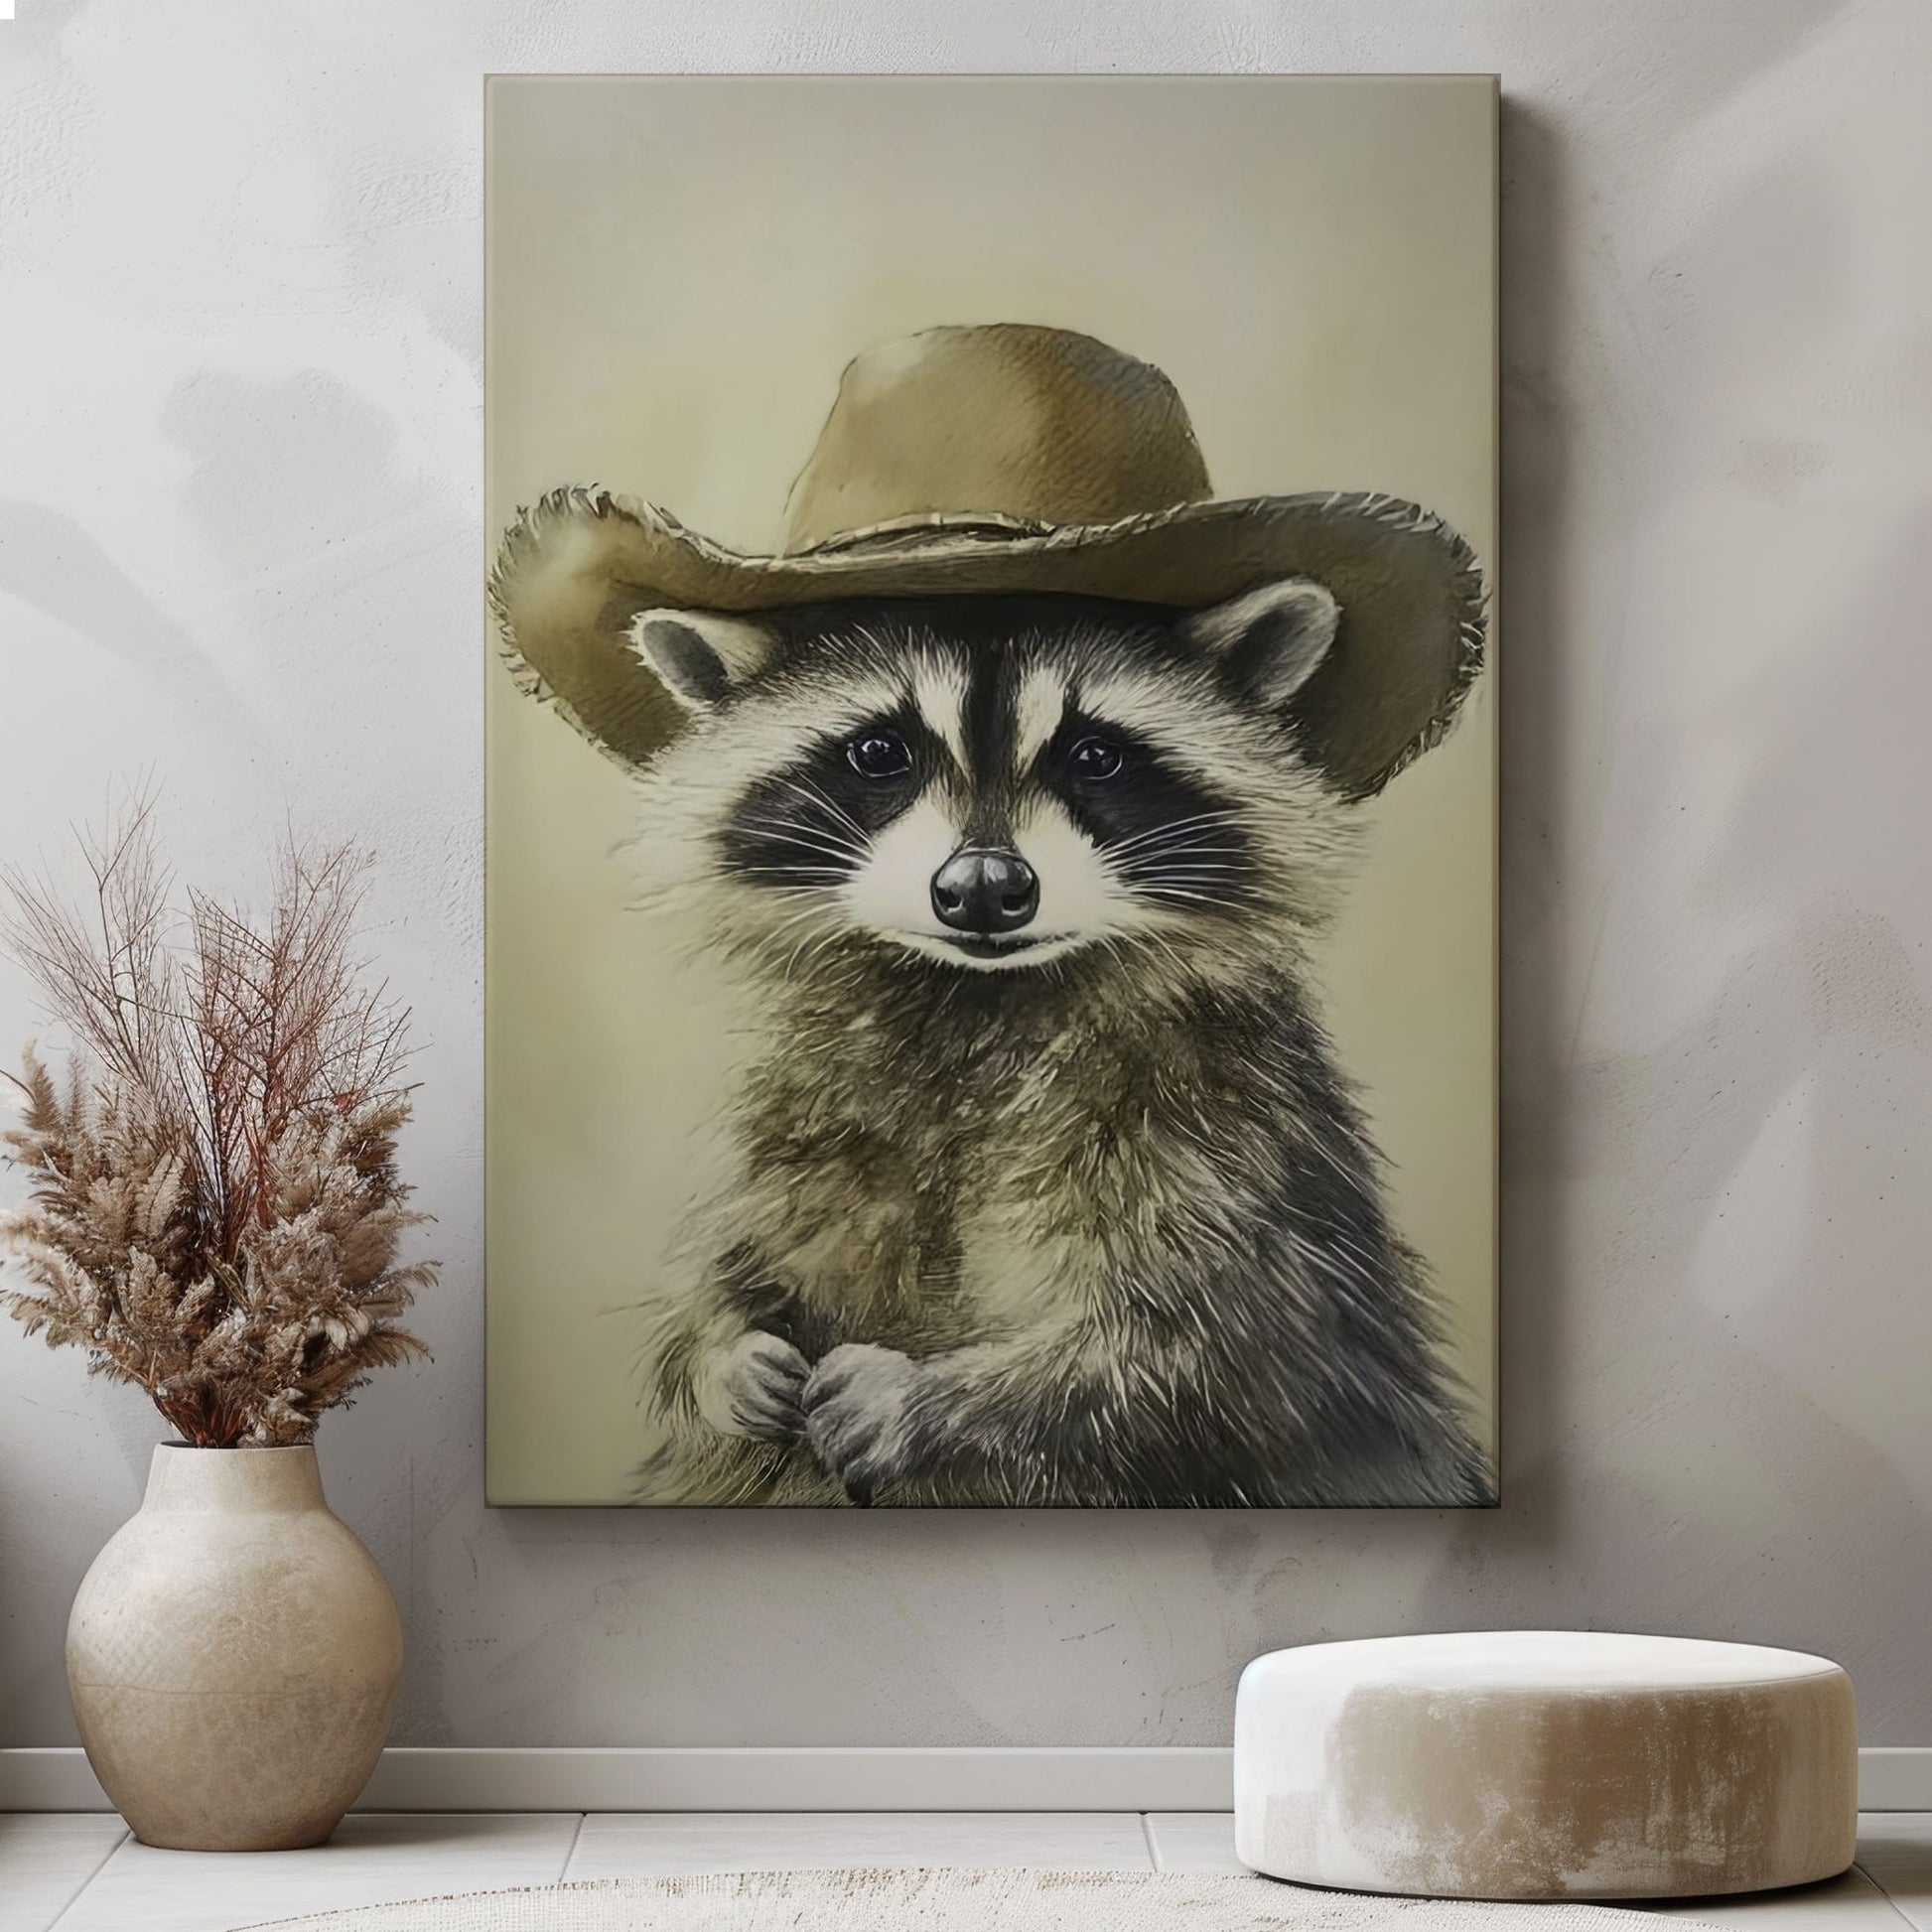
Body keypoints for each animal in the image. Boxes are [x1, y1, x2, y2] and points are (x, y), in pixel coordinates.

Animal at [622, 582, 1491, 1507]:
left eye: (1095, 755)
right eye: (878, 753)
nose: (982, 888)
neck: (974, 998)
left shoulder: (1236, 1133)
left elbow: (1228, 1354)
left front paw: (929, 1400)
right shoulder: (799, 1107)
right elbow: (724, 1268)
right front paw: (719, 1351)